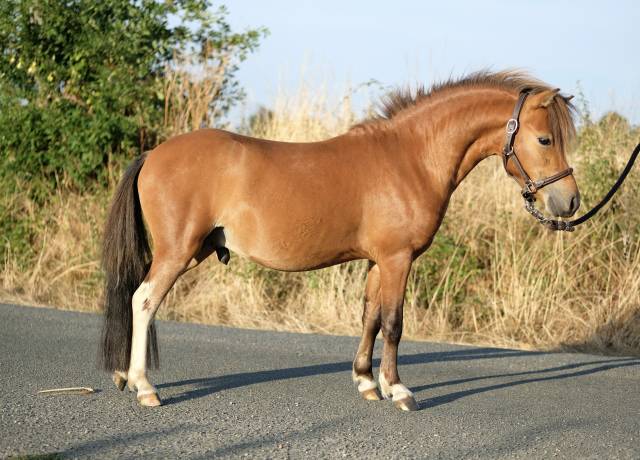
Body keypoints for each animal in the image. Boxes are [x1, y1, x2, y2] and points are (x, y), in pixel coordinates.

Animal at [101, 70, 579, 411]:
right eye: (544, 139)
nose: (569, 201)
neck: (410, 158)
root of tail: (153, 155)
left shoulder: (376, 262)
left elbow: (370, 318)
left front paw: (367, 382)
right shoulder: (397, 259)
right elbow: (394, 323)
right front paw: (399, 390)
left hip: (191, 251)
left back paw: (125, 376)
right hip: (178, 251)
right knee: (144, 300)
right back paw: (144, 386)